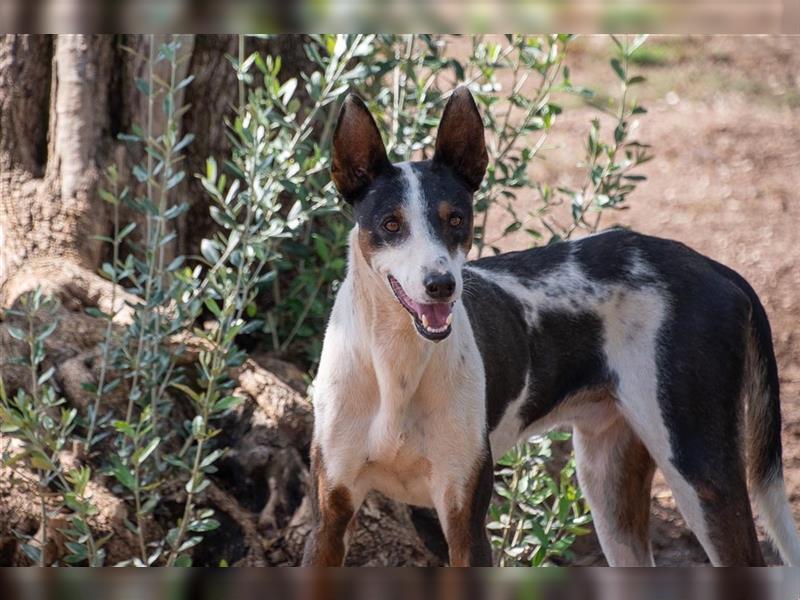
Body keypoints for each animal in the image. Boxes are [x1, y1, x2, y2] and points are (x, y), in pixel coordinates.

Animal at [300, 86, 800, 564]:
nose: (441, 285)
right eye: (391, 224)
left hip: (698, 470)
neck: (396, 363)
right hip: (609, 481)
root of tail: (715, 267)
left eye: (456, 219)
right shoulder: (330, 517)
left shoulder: (466, 520)